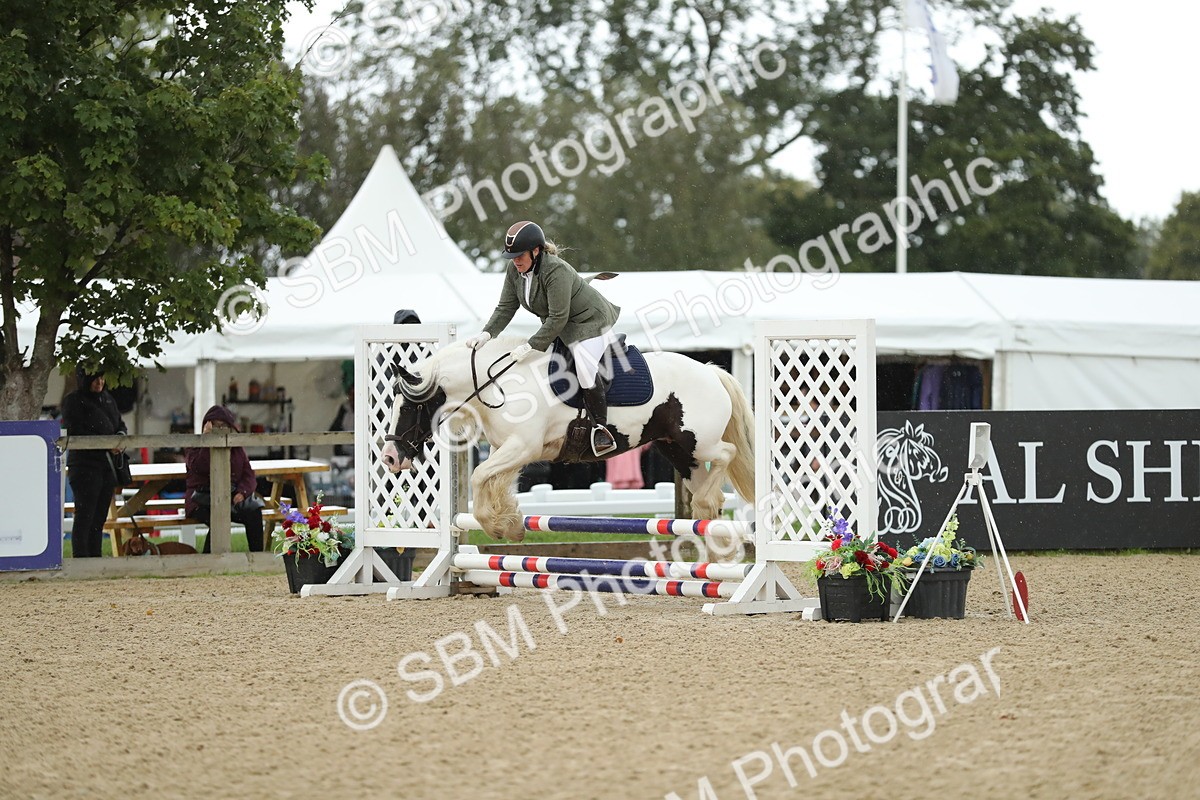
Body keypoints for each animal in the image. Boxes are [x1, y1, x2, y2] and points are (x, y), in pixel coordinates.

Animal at [380, 336, 755, 544]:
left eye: (410, 407)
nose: (389, 458)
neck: (498, 385)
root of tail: (711, 371)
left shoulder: (522, 447)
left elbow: (477, 477)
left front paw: (500, 527)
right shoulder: (506, 450)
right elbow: (491, 482)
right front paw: (510, 523)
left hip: (699, 441)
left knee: (727, 453)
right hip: (678, 450)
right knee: (707, 486)